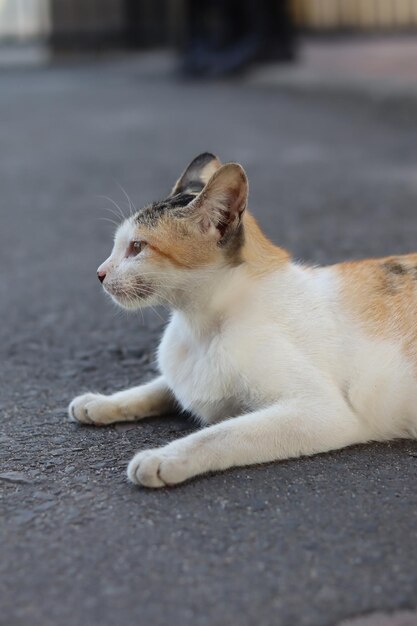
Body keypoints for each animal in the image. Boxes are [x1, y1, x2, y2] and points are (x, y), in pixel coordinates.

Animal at [67, 152, 416, 488]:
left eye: (137, 247)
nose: (99, 273)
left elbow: (222, 433)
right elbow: (157, 387)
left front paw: (163, 458)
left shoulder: (319, 412)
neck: (200, 327)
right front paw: (100, 403)